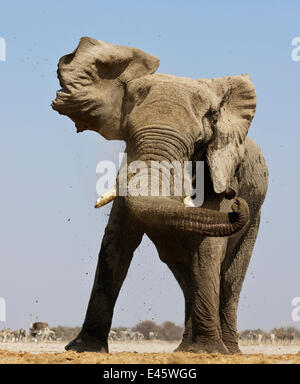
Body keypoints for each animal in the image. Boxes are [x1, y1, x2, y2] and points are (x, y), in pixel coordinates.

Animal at [50, 36, 268, 354]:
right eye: (127, 135)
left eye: (199, 143)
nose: (237, 200)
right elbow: (116, 243)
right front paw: (84, 349)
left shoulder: (221, 168)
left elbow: (207, 249)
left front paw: (208, 352)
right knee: (185, 274)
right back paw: (185, 349)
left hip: (255, 218)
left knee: (230, 278)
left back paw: (228, 351)